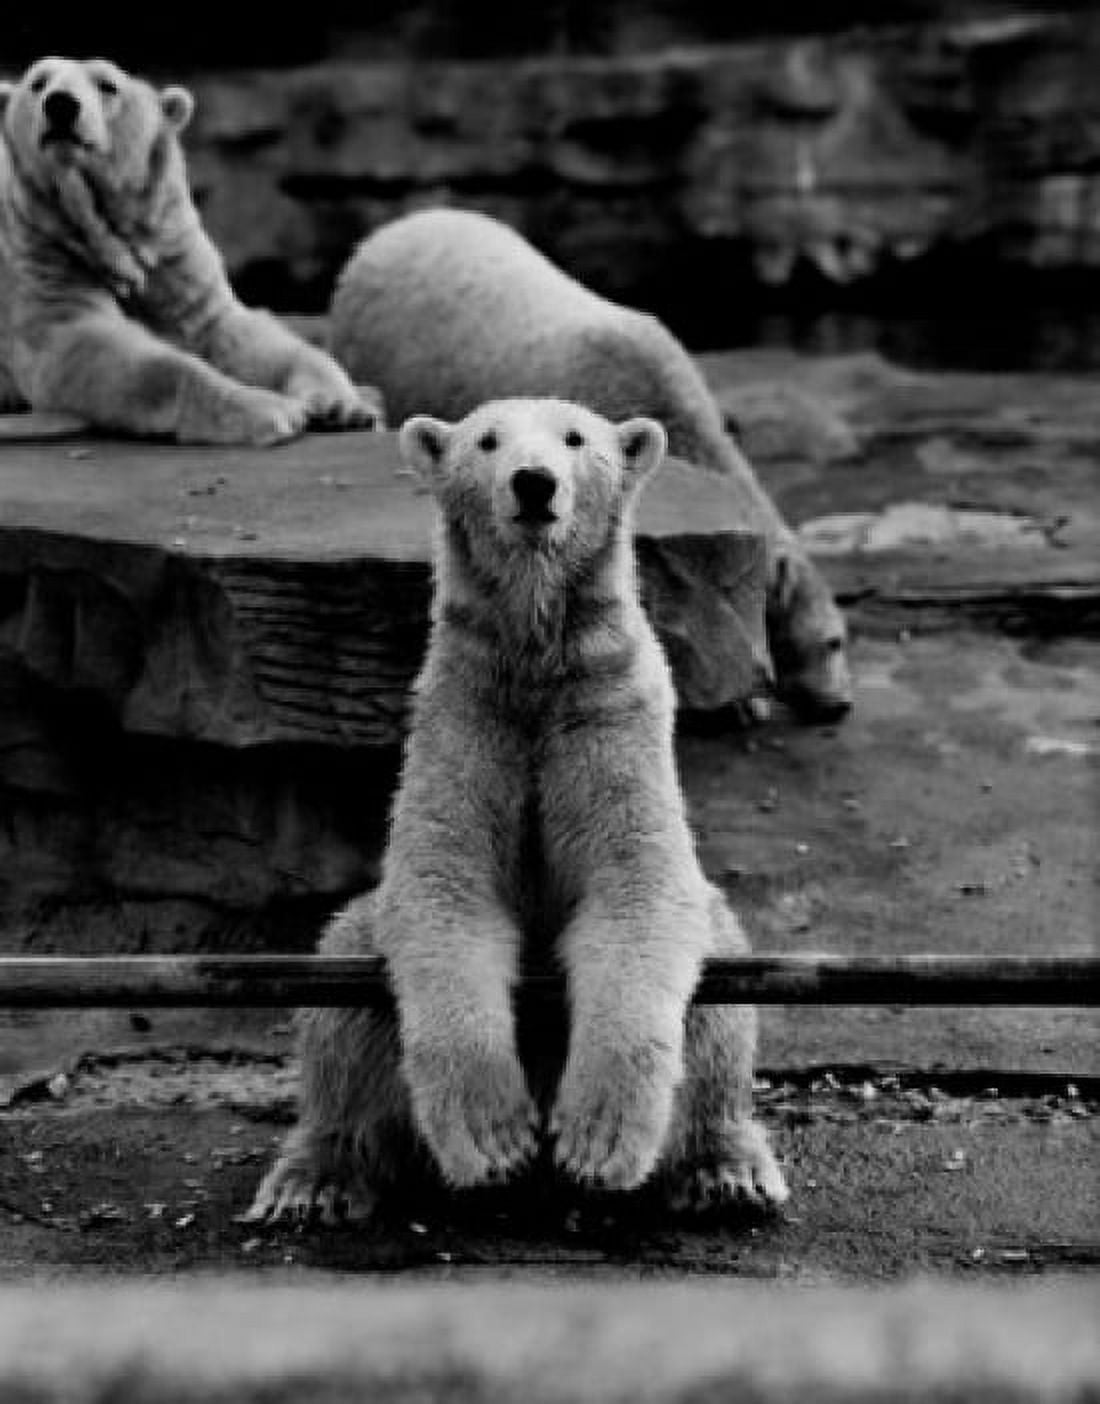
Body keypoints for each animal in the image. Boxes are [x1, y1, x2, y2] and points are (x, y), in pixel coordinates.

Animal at [0, 57, 380, 444]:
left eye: (108, 85)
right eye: (38, 82)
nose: (60, 104)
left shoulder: (169, 250)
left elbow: (227, 328)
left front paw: (341, 405)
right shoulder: (44, 252)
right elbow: (81, 346)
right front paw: (271, 409)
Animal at [247, 397, 788, 1223]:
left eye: (576, 438)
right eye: (487, 441)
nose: (534, 483)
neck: (536, 665)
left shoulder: (610, 711)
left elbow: (636, 888)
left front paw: (596, 1139)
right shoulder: (462, 715)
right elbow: (445, 890)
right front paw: (494, 1136)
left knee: (723, 987)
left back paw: (727, 1169)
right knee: (340, 989)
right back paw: (314, 1179)